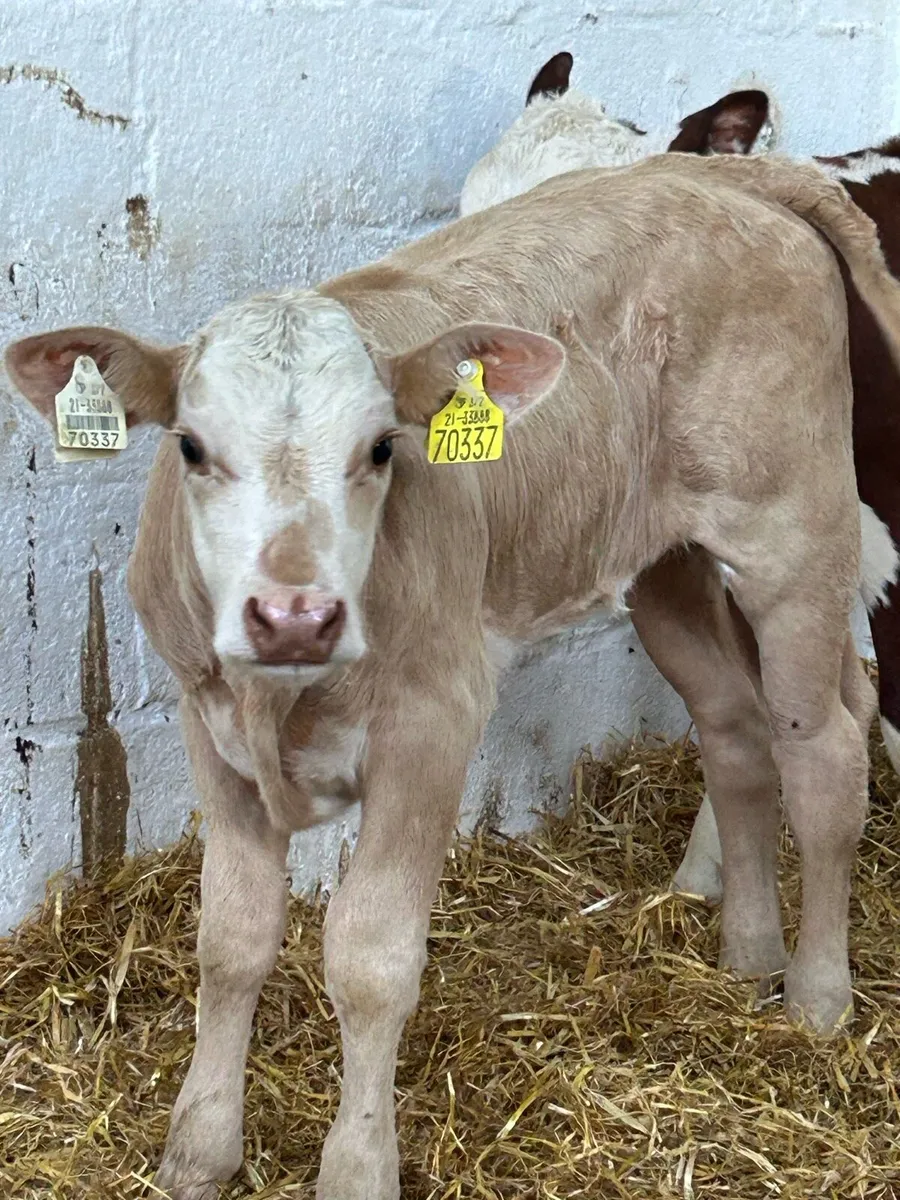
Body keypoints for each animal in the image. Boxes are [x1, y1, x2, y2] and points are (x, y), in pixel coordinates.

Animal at [7, 152, 899, 1199]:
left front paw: (356, 1168)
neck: (283, 699)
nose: (295, 615)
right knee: (735, 728)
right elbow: (229, 940)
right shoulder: (207, 722)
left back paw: (817, 998)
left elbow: (370, 960)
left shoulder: (432, 721)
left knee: (825, 751)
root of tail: (721, 171)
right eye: (190, 446)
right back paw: (747, 954)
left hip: (793, 535)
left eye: (382, 447)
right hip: (663, 564)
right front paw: (198, 1148)